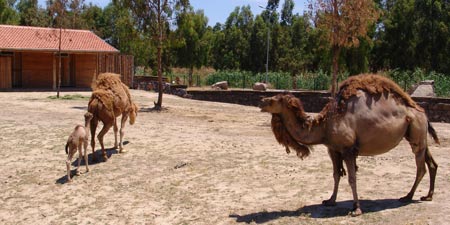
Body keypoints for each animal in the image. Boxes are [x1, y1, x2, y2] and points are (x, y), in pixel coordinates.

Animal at [260, 74, 440, 216]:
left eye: (275, 99)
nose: (262, 100)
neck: (324, 126)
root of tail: (422, 113)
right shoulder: (333, 149)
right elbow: (336, 175)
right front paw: (330, 200)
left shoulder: (348, 150)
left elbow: (352, 178)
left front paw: (356, 209)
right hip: (417, 135)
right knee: (432, 163)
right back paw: (428, 196)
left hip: (416, 130)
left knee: (421, 167)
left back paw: (407, 196)